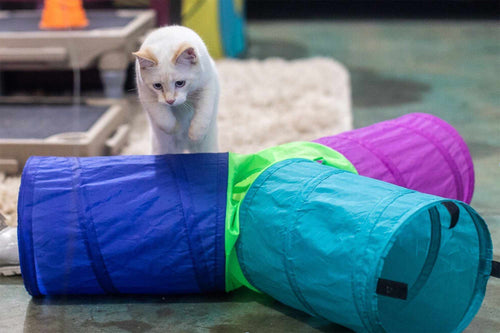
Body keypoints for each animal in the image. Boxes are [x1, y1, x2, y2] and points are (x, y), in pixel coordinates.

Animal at [135, 25, 219, 154]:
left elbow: (204, 113)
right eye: (157, 85)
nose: (170, 101)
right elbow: (162, 118)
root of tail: (184, 147)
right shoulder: (145, 93)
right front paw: (176, 127)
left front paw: (195, 134)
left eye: (180, 83)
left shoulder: (208, 84)